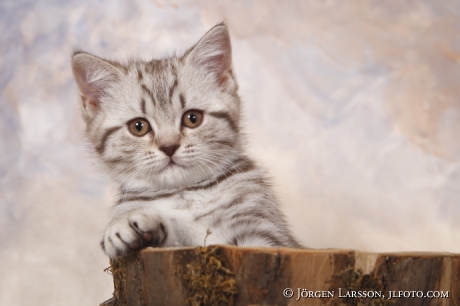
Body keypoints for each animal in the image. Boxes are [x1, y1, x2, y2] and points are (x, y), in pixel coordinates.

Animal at [71, 23, 302, 258]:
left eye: (192, 118)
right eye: (138, 126)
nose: (169, 146)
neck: (184, 195)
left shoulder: (265, 236)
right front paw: (125, 225)